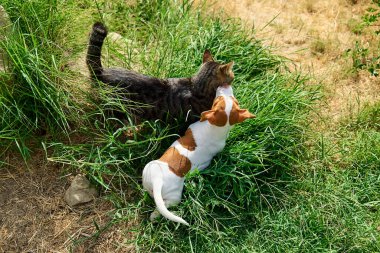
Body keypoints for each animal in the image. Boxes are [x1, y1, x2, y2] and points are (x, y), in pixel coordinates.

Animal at [142, 85, 255, 225]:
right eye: (221, 99)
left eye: (217, 99)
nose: (225, 85)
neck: (217, 129)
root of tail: (158, 180)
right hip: (148, 169)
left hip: (174, 197)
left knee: (161, 207)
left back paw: (155, 216)